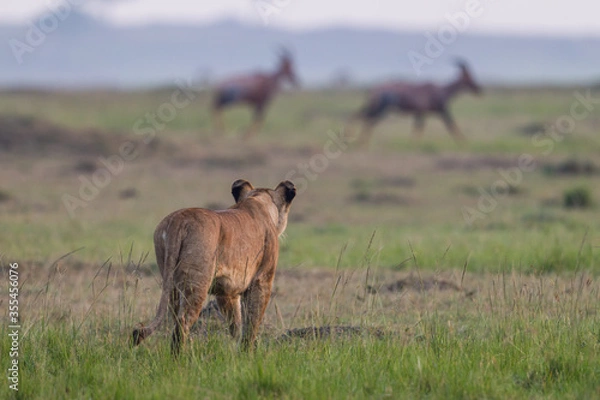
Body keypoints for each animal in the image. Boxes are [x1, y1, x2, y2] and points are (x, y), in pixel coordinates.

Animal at [352, 61, 482, 145]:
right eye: (468, 76)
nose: (479, 89)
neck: (441, 90)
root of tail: (373, 89)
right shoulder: (438, 111)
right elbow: (451, 125)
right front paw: (464, 141)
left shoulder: (422, 113)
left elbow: (419, 128)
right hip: (381, 109)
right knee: (368, 119)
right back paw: (361, 142)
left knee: (364, 117)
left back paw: (360, 141)